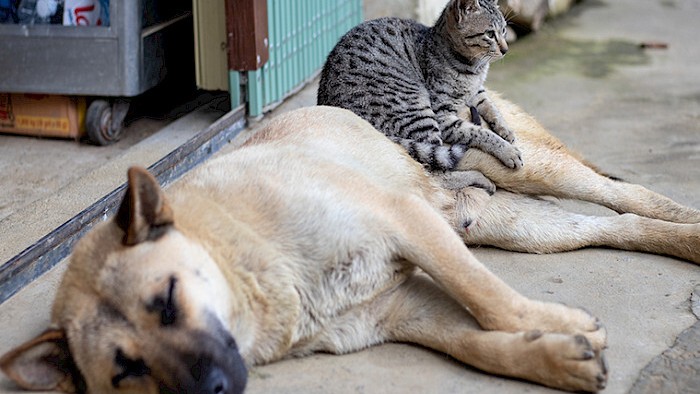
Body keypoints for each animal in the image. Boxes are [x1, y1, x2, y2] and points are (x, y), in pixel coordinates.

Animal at [1, 97, 700, 390]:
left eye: (167, 301)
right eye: (126, 370)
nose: (212, 391)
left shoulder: (405, 223)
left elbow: (487, 296)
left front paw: (557, 325)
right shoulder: (401, 311)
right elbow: (477, 344)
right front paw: (555, 355)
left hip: (526, 169)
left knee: (626, 194)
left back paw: (688, 223)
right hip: (515, 227)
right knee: (614, 226)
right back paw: (683, 241)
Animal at [318, 0, 520, 172]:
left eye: (504, 30)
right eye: (490, 34)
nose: (506, 49)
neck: (474, 69)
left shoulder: (477, 91)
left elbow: (491, 107)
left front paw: (506, 129)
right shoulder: (443, 115)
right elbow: (479, 132)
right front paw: (507, 150)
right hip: (417, 110)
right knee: (437, 166)